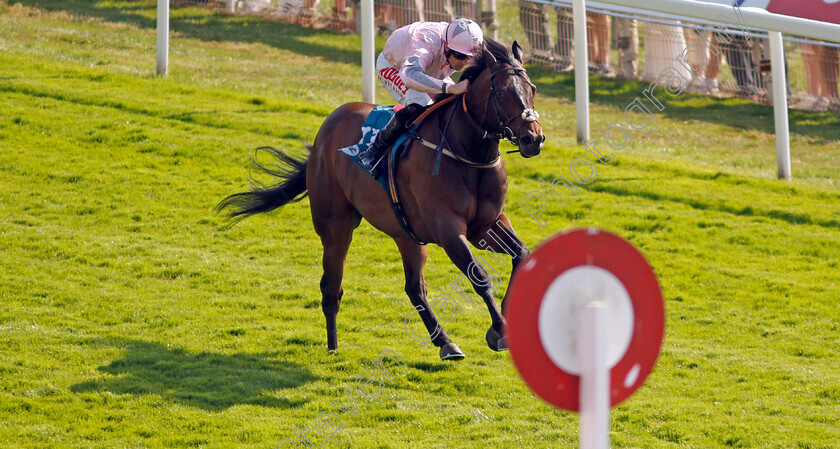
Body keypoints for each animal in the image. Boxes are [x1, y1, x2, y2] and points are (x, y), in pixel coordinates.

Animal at [217, 38, 544, 360]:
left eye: (532, 89)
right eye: (500, 92)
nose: (533, 138)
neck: (467, 153)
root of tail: (327, 128)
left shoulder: (486, 225)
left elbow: (522, 254)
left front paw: (506, 318)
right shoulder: (448, 229)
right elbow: (480, 275)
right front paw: (499, 330)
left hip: (407, 234)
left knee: (414, 288)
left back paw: (446, 343)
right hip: (336, 227)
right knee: (331, 286)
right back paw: (333, 346)